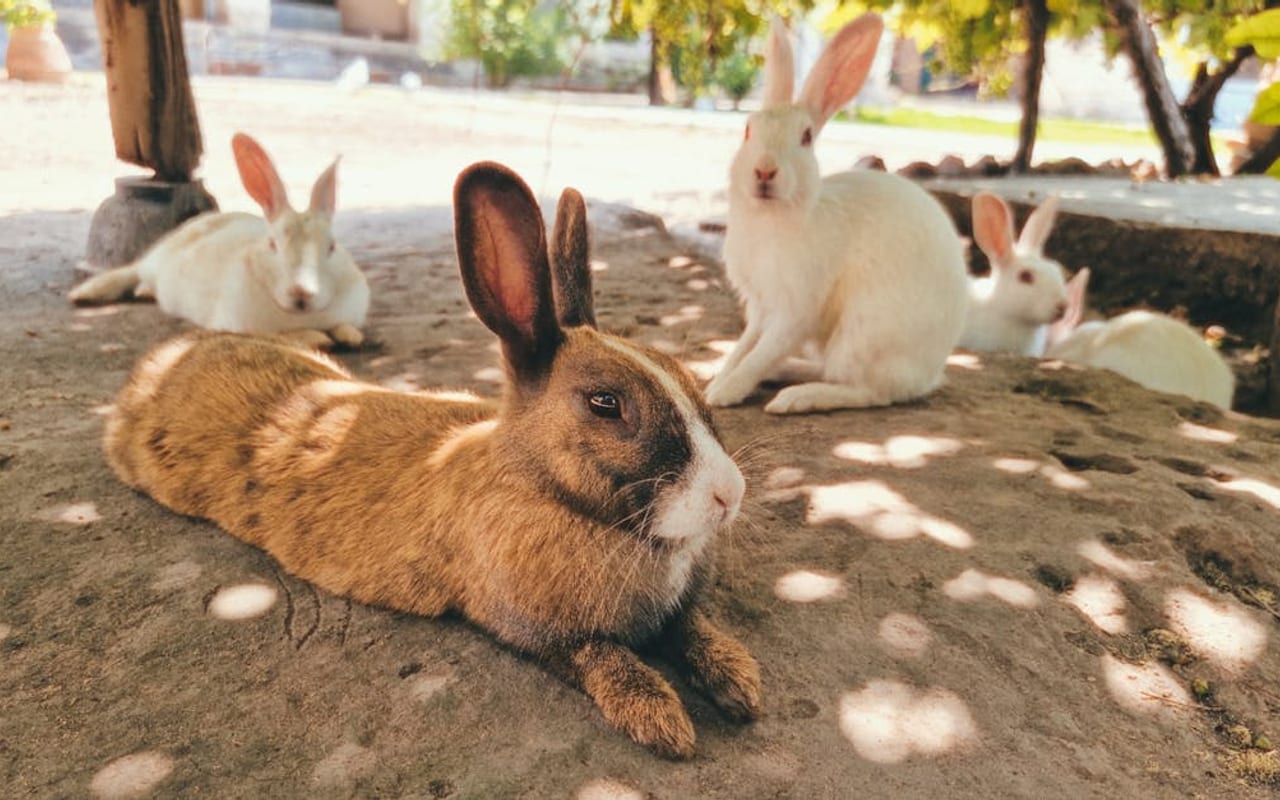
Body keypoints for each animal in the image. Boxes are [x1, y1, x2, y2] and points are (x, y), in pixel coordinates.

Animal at [69, 133, 369, 349]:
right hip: (154, 264)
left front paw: (350, 336)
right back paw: (87, 293)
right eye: (273, 245)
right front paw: (320, 338)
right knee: (134, 273)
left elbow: (346, 325)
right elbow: (291, 335)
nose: (302, 292)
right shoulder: (241, 325)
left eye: (331, 246)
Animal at [101, 162, 760, 759]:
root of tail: (162, 361)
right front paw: (663, 723)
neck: (545, 490)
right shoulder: (535, 630)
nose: (730, 494)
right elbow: (603, 657)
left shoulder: (673, 614)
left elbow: (692, 628)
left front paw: (741, 683)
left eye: (684, 376)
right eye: (606, 404)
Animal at [705, 13, 970, 414]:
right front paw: (716, 380)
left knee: (867, 391)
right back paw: (786, 375)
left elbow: (761, 353)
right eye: (748, 130)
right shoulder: (759, 307)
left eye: (806, 138)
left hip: (862, 334)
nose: (764, 171)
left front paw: (724, 393)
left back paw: (796, 398)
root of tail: (930, 374)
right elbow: (744, 347)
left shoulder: (795, 310)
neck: (771, 218)